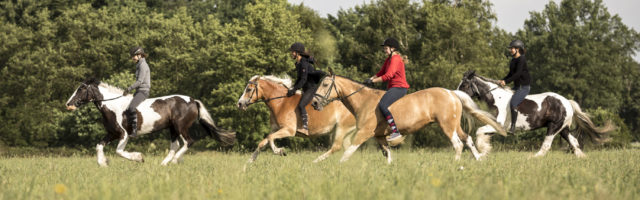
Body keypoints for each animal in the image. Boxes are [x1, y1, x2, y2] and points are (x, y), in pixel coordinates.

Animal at [65, 79, 235, 166]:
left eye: (81, 89)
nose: (68, 104)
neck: (112, 106)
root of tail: (193, 101)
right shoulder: (112, 133)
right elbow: (99, 146)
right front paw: (103, 163)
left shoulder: (123, 134)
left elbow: (119, 151)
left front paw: (139, 158)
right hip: (173, 129)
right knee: (175, 146)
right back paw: (163, 164)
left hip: (180, 126)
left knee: (188, 142)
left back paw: (174, 161)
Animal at [310, 69, 504, 163]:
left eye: (325, 84)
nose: (314, 104)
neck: (364, 100)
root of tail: (451, 92)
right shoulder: (380, 136)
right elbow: (387, 154)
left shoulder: (363, 133)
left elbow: (347, 152)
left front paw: (336, 167)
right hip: (455, 125)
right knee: (467, 139)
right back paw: (478, 158)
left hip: (447, 126)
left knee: (457, 144)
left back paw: (456, 164)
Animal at [456, 70, 616, 158]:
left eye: (464, 85)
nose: (456, 96)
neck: (496, 98)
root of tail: (567, 102)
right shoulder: (495, 126)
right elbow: (482, 133)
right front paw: (483, 152)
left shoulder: (499, 125)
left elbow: (479, 131)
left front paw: (482, 150)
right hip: (563, 129)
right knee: (574, 142)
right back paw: (582, 157)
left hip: (553, 127)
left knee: (546, 145)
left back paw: (533, 158)